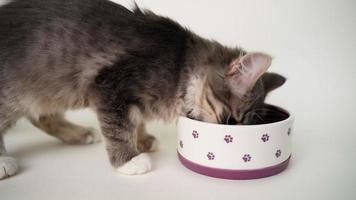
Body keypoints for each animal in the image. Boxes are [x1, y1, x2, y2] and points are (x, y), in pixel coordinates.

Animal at [0, 0, 284, 178]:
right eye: (231, 120)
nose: (230, 134)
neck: (180, 63)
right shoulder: (110, 86)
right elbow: (118, 127)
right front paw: (129, 159)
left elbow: (136, 119)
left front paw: (143, 139)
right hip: (16, 93)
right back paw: (4, 163)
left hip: (46, 92)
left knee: (41, 117)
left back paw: (79, 133)